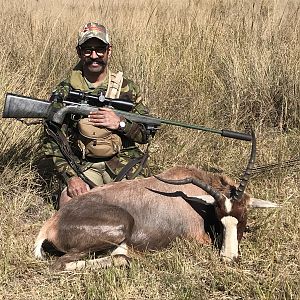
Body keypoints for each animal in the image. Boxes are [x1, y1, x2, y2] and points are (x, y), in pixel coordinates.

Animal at [34, 131, 276, 270]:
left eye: (242, 216)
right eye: (219, 217)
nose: (229, 258)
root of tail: (51, 224)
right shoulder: (198, 239)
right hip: (119, 226)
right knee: (59, 265)